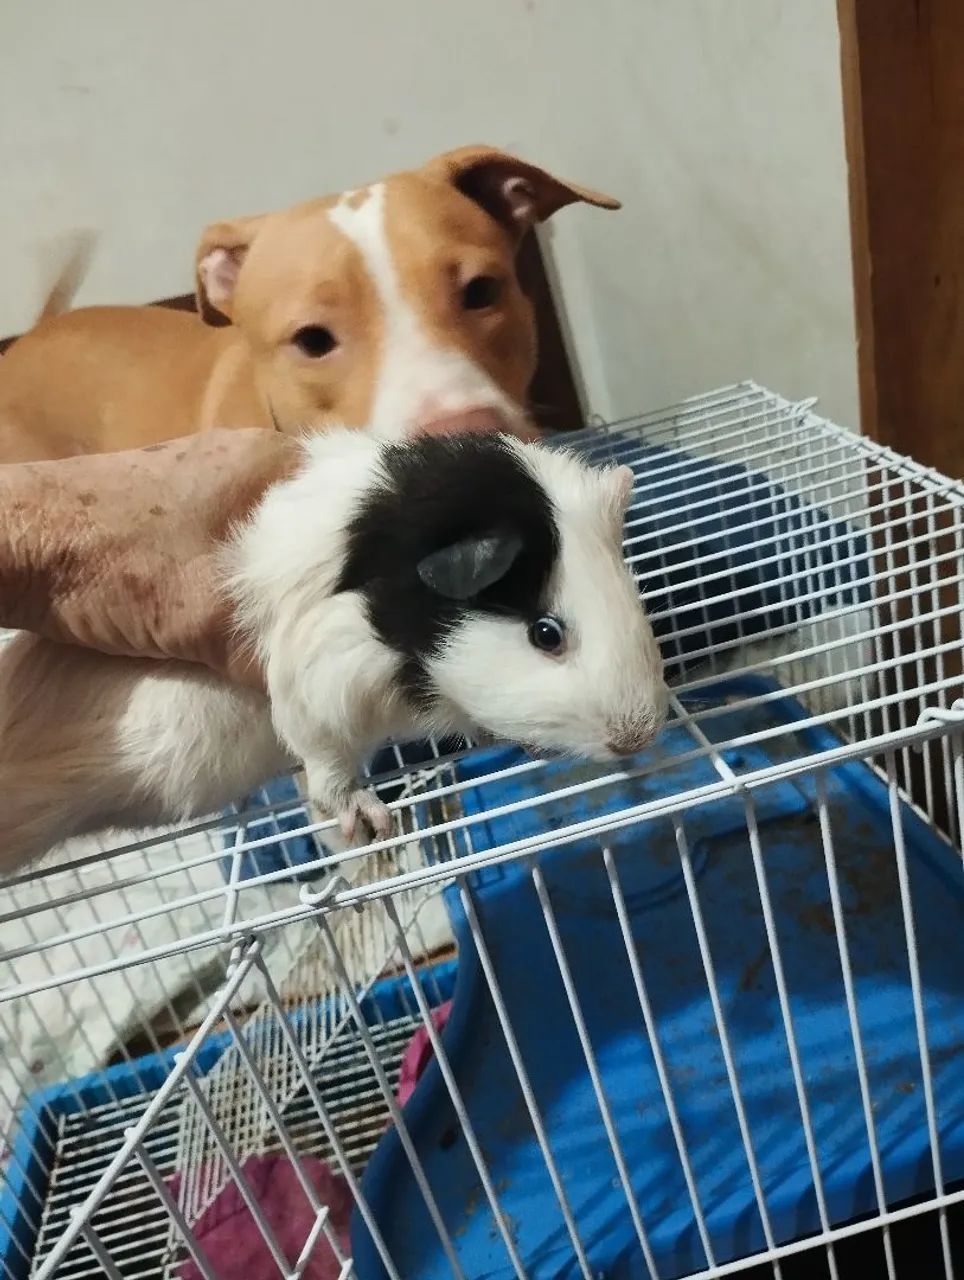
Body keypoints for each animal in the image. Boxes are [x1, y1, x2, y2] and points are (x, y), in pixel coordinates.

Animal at [0, 431, 667, 873]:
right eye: (546, 633)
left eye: (633, 594)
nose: (638, 735)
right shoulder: (316, 698)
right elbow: (329, 775)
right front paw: (372, 822)